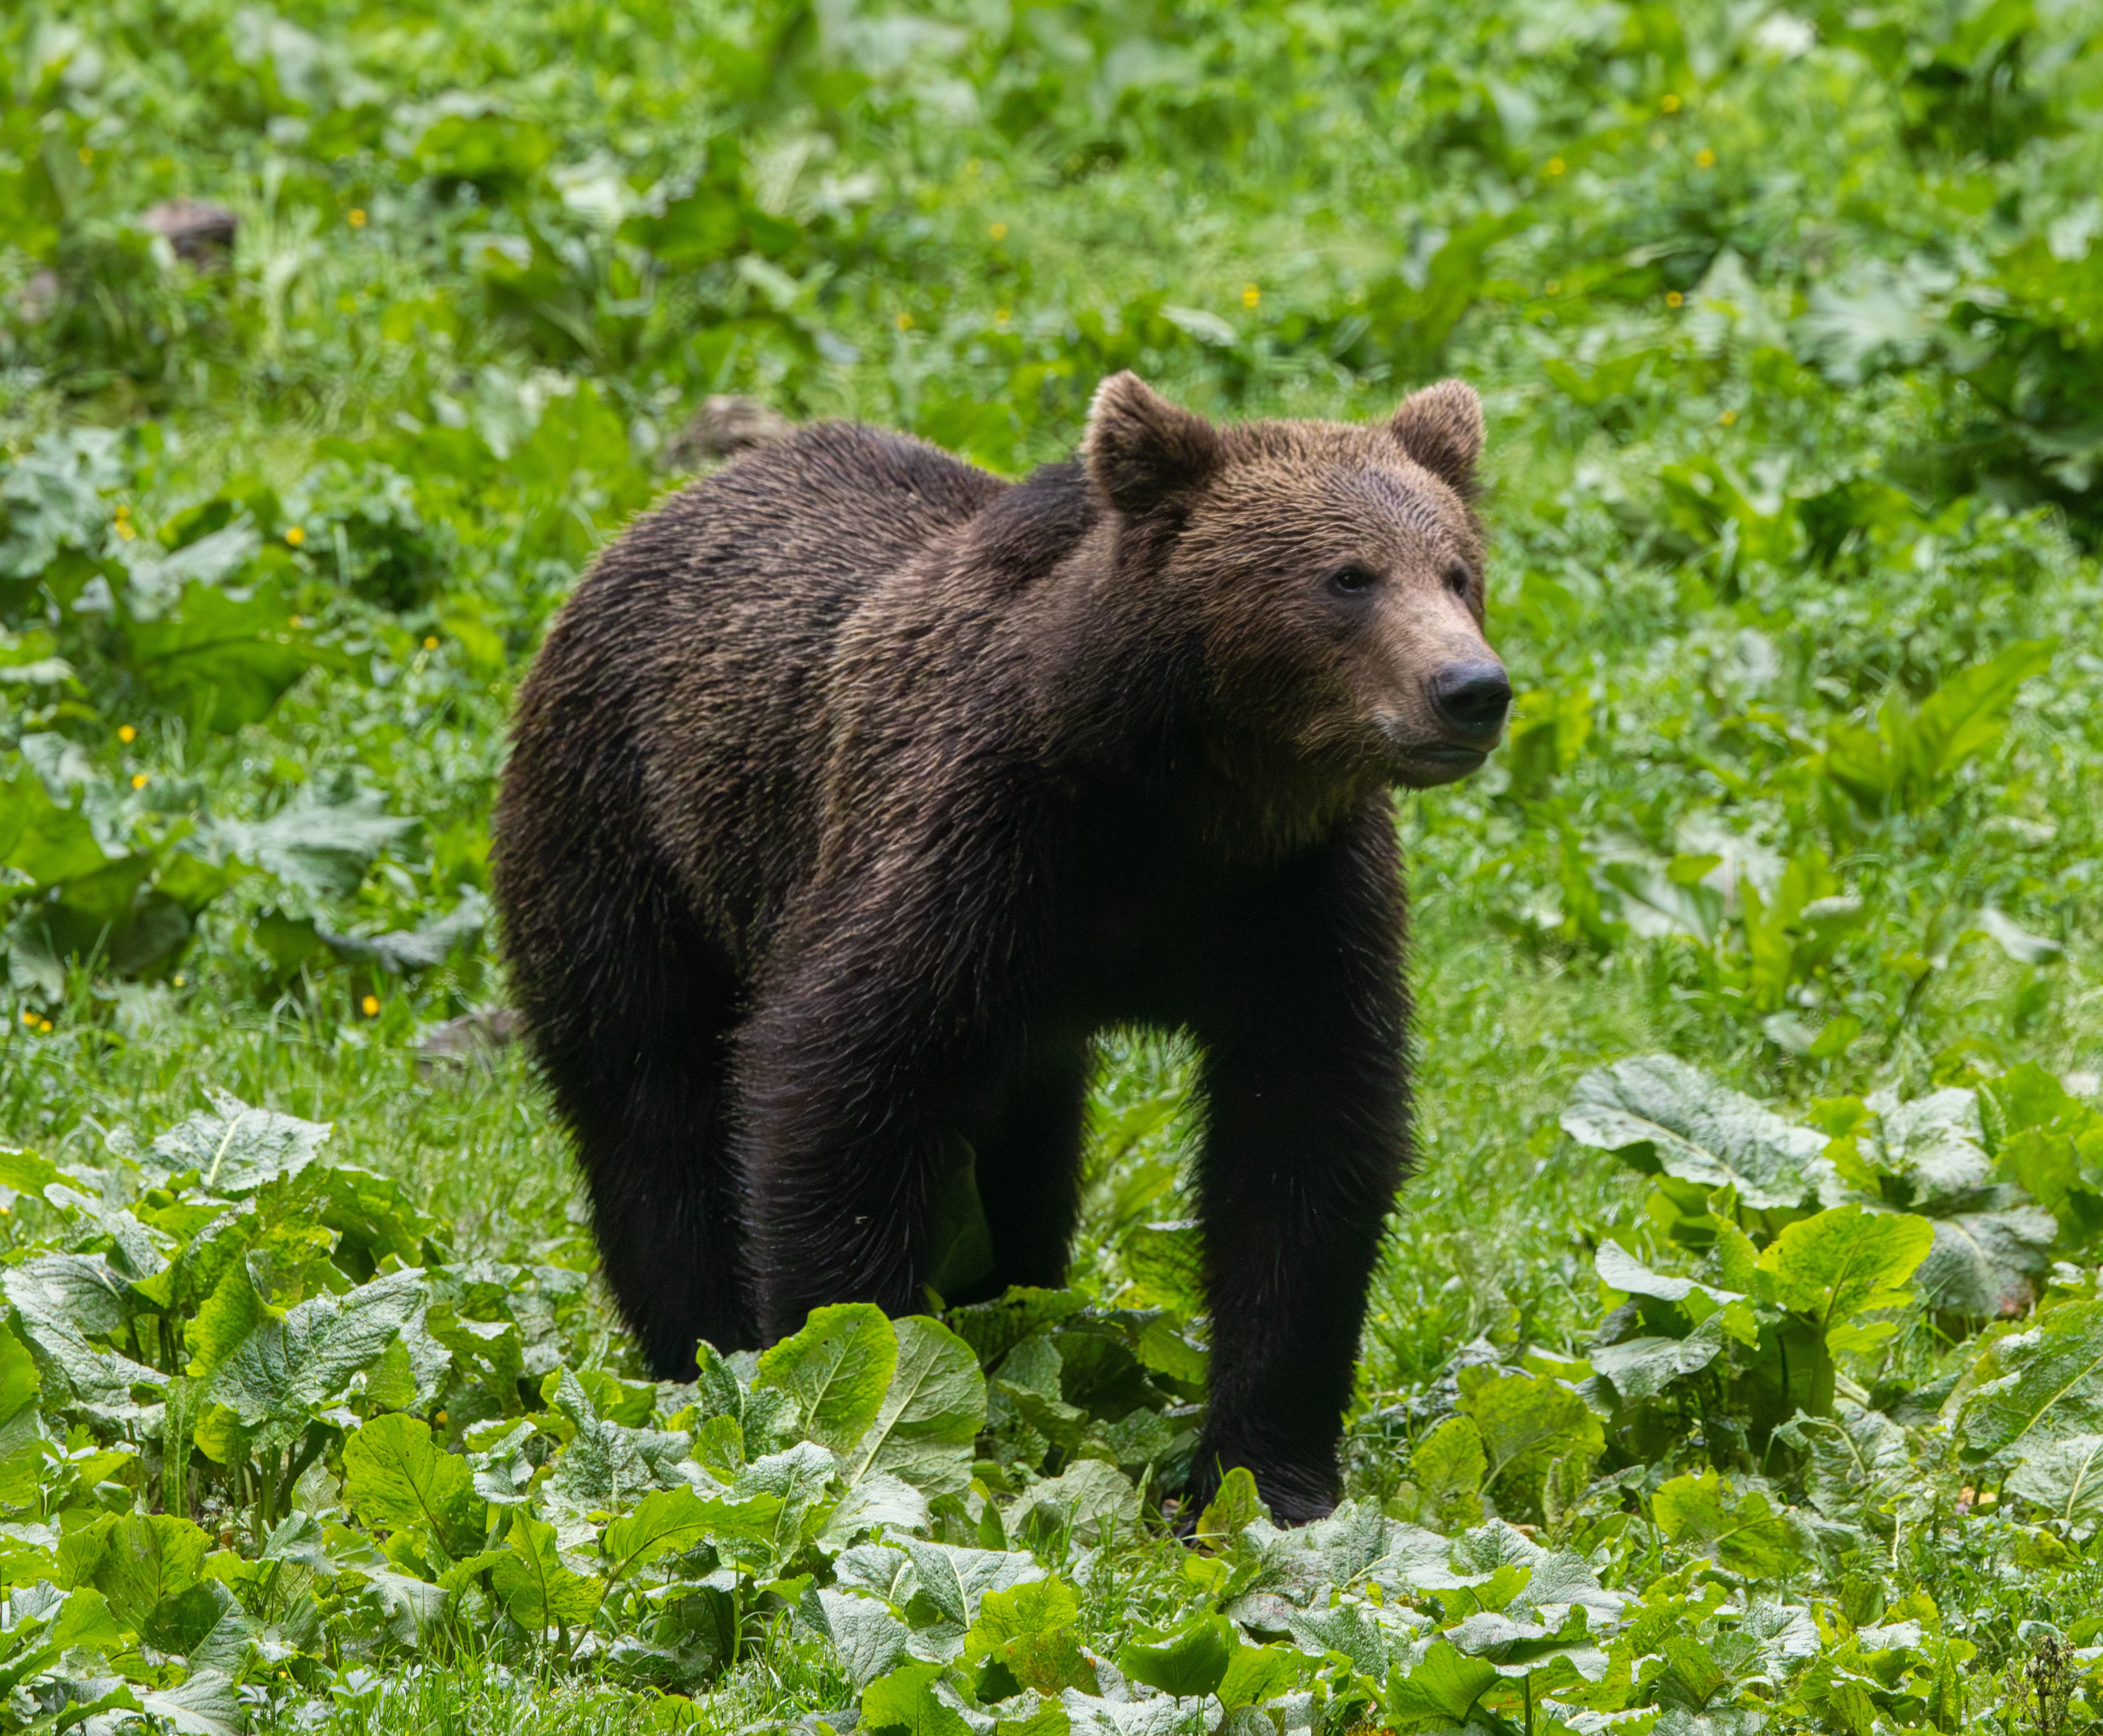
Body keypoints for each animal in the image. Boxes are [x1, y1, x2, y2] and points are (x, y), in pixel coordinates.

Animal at [491, 372, 1510, 1521]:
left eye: (1456, 568)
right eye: (1347, 577)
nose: (1469, 687)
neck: (1175, 798)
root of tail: (651, 517)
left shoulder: (1294, 906)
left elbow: (1304, 1155)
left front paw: (1262, 1476)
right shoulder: (968, 851)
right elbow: (835, 1088)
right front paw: (859, 1388)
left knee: (1023, 1151)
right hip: (625, 841)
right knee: (648, 1101)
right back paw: (696, 1350)